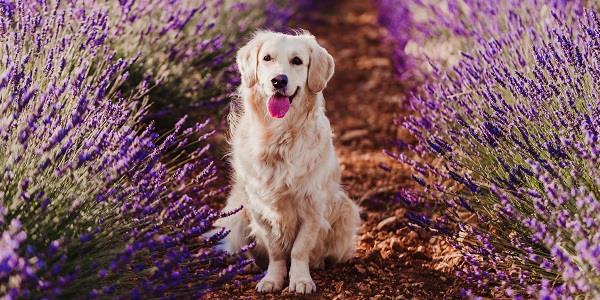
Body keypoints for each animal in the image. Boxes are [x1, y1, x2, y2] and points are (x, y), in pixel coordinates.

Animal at [218, 31, 364, 296]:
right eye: (267, 58)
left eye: (297, 61)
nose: (278, 80)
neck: (279, 138)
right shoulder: (260, 207)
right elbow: (275, 250)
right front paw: (272, 279)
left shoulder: (312, 206)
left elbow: (299, 249)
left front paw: (300, 280)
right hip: (235, 213)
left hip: (346, 209)